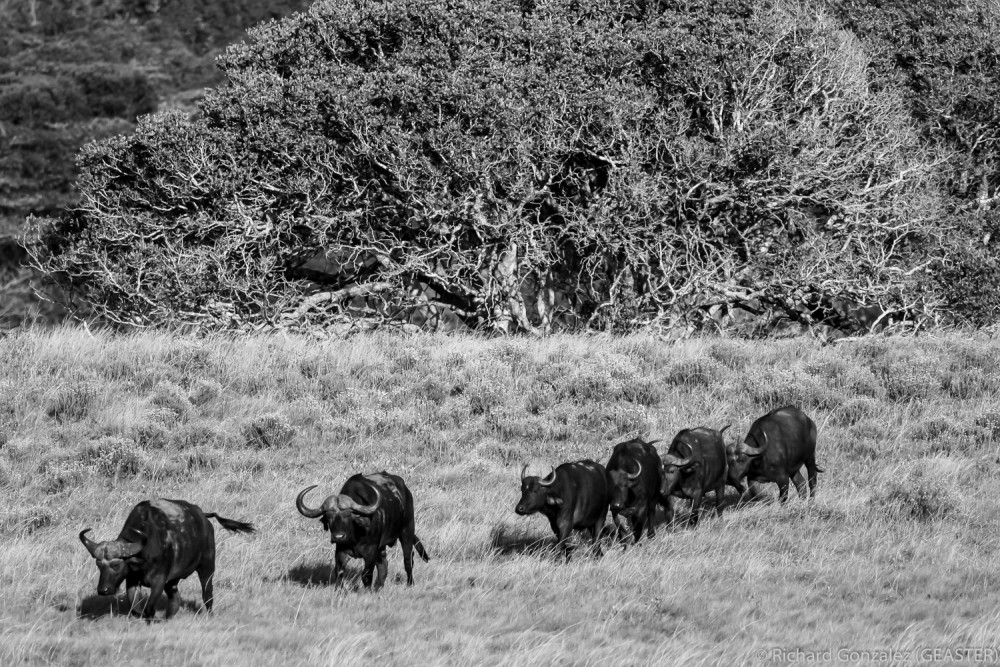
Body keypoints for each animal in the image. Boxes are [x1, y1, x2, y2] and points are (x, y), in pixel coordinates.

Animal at [79, 499, 255, 619]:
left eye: (116, 564)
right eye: (98, 564)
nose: (103, 590)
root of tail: (204, 518)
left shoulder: (159, 580)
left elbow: (149, 607)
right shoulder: (132, 580)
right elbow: (135, 607)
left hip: (207, 566)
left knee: (207, 594)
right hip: (173, 581)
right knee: (175, 599)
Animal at [296, 471, 429, 589]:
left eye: (348, 515)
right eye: (329, 517)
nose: (338, 537)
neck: (356, 536)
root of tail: (406, 491)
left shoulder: (371, 551)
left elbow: (366, 574)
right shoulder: (340, 550)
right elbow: (339, 572)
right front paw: (339, 590)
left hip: (407, 531)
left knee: (408, 560)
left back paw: (410, 583)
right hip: (382, 547)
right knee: (383, 565)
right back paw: (378, 587)